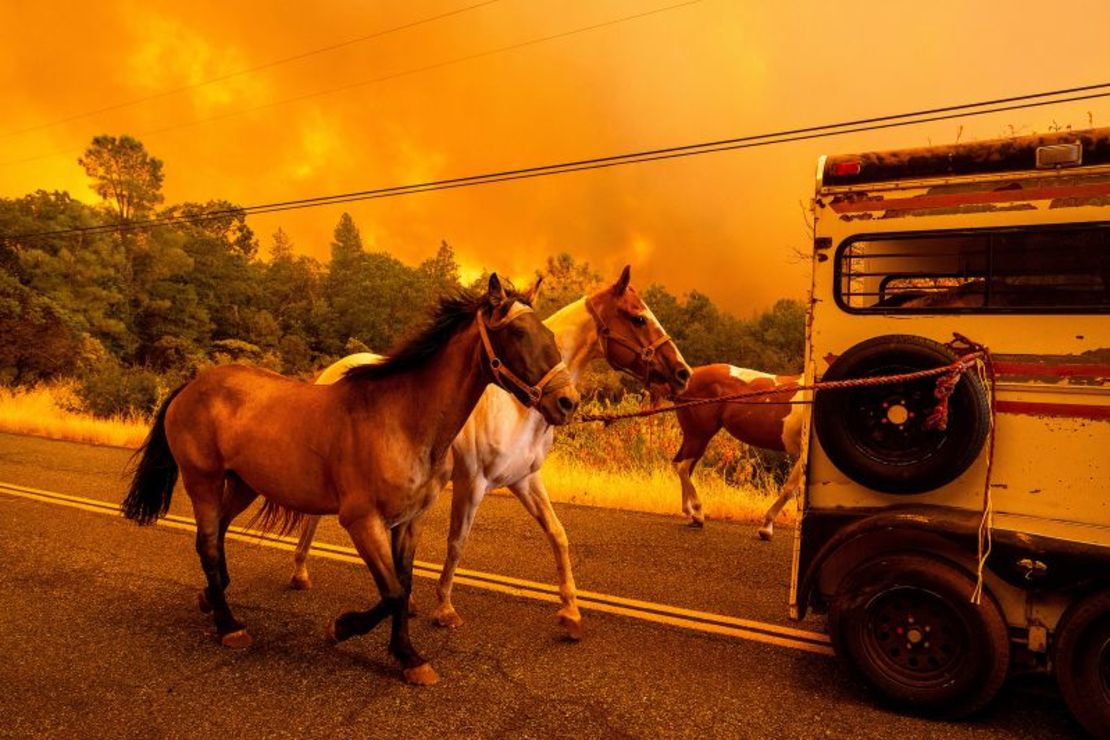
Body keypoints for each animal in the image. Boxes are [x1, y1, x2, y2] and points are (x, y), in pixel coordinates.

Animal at [121, 275, 577, 687]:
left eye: (549, 333)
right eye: (518, 333)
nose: (567, 402)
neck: (402, 419)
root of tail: (192, 385)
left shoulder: (408, 522)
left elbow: (403, 587)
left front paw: (407, 656)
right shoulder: (362, 521)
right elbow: (392, 592)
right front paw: (348, 631)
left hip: (243, 485)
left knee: (215, 537)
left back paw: (210, 600)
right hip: (204, 480)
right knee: (209, 544)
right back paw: (229, 625)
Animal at [288, 267, 683, 643]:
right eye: (638, 318)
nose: (681, 373)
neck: (517, 409)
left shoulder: (525, 481)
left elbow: (558, 534)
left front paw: (571, 615)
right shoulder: (472, 484)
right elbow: (457, 543)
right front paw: (444, 608)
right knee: (312, 519)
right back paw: (300, 572)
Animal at [661, 363, 803, 539]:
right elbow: (790, 490)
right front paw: (766, 528)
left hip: (695, 436)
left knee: (682, 466)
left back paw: (690, 513)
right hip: (699, 434)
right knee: (683, 468)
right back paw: (698, 513)